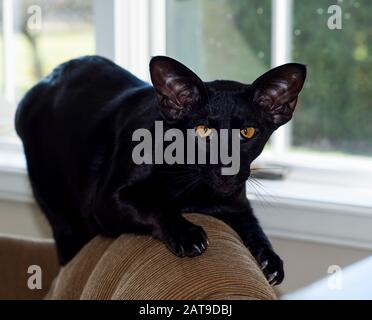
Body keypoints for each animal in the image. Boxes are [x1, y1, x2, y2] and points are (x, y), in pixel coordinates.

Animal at [15, 55, 306, 284]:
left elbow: (255, 228)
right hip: (62, 214)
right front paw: (187, 234)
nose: (227, 171)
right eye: (203, 131)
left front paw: (270, 259)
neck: (192, 186)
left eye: (248, 132)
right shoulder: (107, 200)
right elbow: (155, 206)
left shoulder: (237, 205)